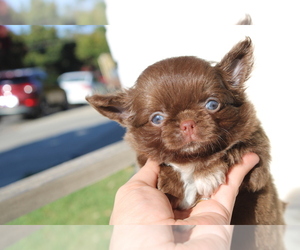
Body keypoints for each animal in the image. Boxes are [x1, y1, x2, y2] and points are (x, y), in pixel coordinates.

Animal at [86, 37, 284, 227]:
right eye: (157, 119)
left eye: (212, 104)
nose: (187, 123)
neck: (191, 158)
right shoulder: (144, 158)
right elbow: (165, 164)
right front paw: (170, 184)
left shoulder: (258, 163)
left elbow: (231, 149)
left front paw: (207, 174)